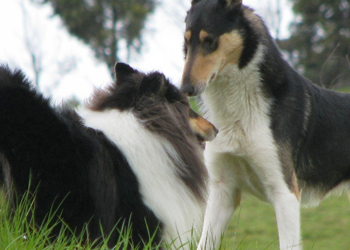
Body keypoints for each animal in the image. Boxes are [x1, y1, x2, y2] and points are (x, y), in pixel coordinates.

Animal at [180, 0, 350, 250]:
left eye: (209, 41)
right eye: (186, 42)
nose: (185, 89)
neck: (238, 111)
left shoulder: (285, 192)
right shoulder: (222, 190)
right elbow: (205, 242)